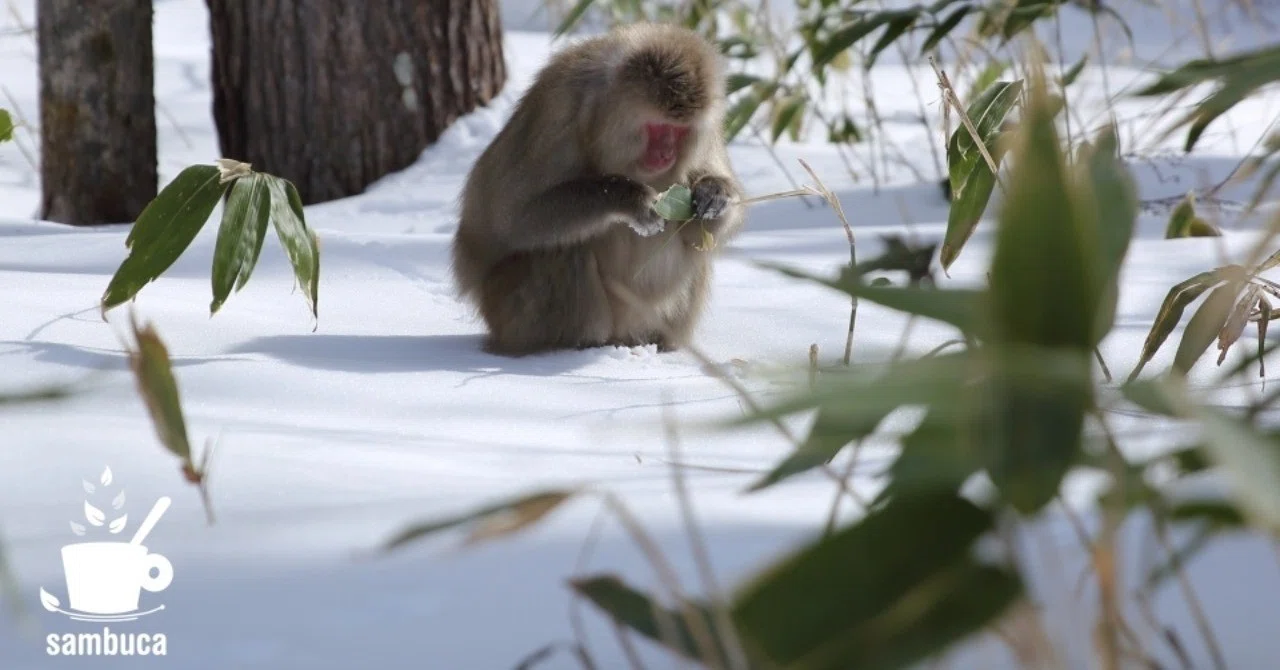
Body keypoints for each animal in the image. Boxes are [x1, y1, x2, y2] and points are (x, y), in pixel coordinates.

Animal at [450, 23, 746, 357]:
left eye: (681, 131)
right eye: (659, 128)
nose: (666, 155)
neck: (604, 116)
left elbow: (699, 232)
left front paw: (714, 194)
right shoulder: (560, 106)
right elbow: (510, 218)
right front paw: (629, 198)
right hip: (508, 312)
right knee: (563, 248)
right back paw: (576, 344)